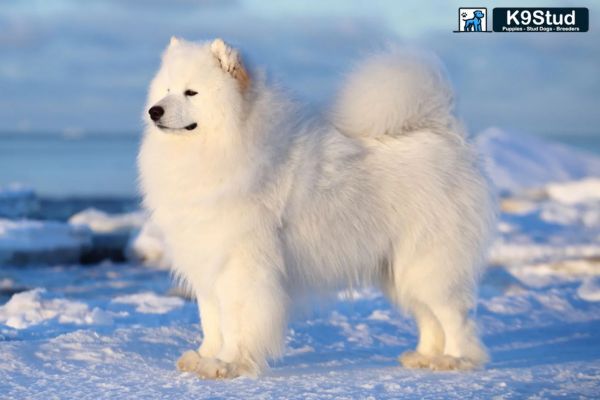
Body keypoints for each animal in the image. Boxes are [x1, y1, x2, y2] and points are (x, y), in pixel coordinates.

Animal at [138, 37, 494, 378]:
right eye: (167, 90)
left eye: (191, 92)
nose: (155, 111)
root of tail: (446, 134)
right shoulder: (207, 263)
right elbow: (212, 321)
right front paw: (204, 357)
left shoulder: (241, 267)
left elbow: (236, 323)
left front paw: (227, 365)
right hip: (400, 270)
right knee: (429, 317)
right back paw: (424, 357)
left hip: (429, 264)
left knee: (454, 318)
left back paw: (454, 359)